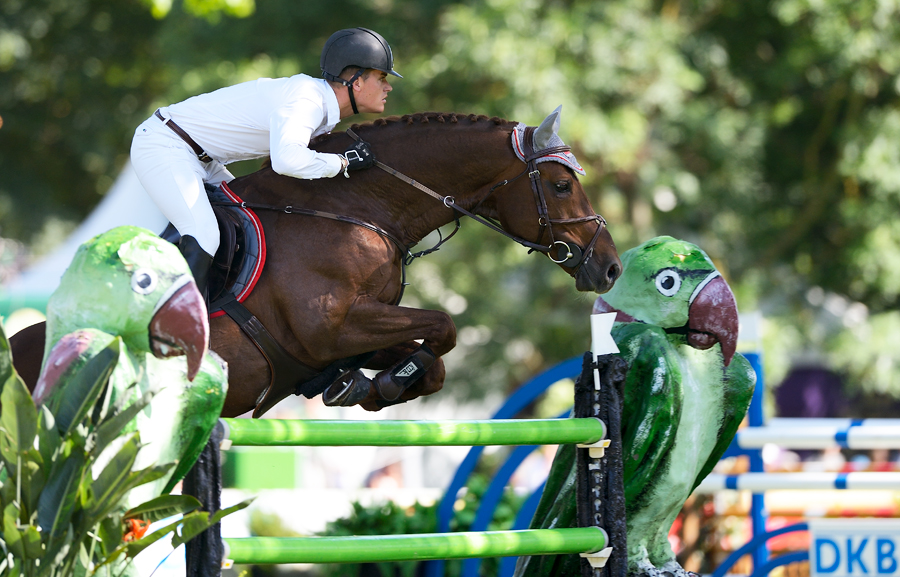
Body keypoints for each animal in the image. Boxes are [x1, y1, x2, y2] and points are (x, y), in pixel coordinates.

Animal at [10, 107, 624, 418]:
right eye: (562, 185)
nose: (611, 268)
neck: (353, 208)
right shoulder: (328, 327)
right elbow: (445, 325)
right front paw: (388, 383)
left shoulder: (352, 331)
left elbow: (434, 356)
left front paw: (372, 386)